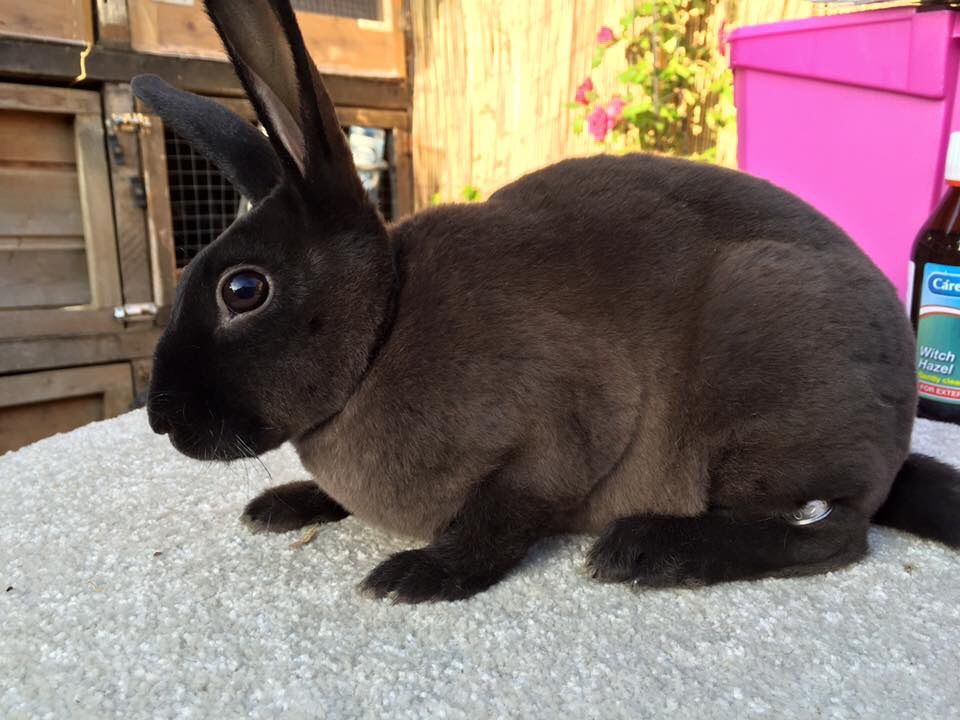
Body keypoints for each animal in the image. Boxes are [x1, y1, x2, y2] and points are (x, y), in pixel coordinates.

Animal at [138, 0, 960, 603]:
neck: (383, 328)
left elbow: (499, 519)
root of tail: (896, 437)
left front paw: (417, 576)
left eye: (243, 290)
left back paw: (644, 552)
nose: (158, 418)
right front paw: (283, 504)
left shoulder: (562, 430)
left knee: (837, 531)